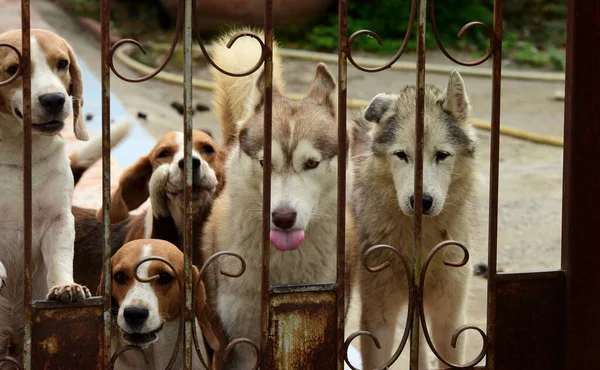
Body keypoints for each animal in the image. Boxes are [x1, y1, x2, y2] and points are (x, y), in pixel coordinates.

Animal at [0, 28, 92, 364]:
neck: (16, 152)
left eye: (62, 63)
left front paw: (65, 286)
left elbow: (60, 258)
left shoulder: (59, 221)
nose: (54, 99)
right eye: (13, 69)